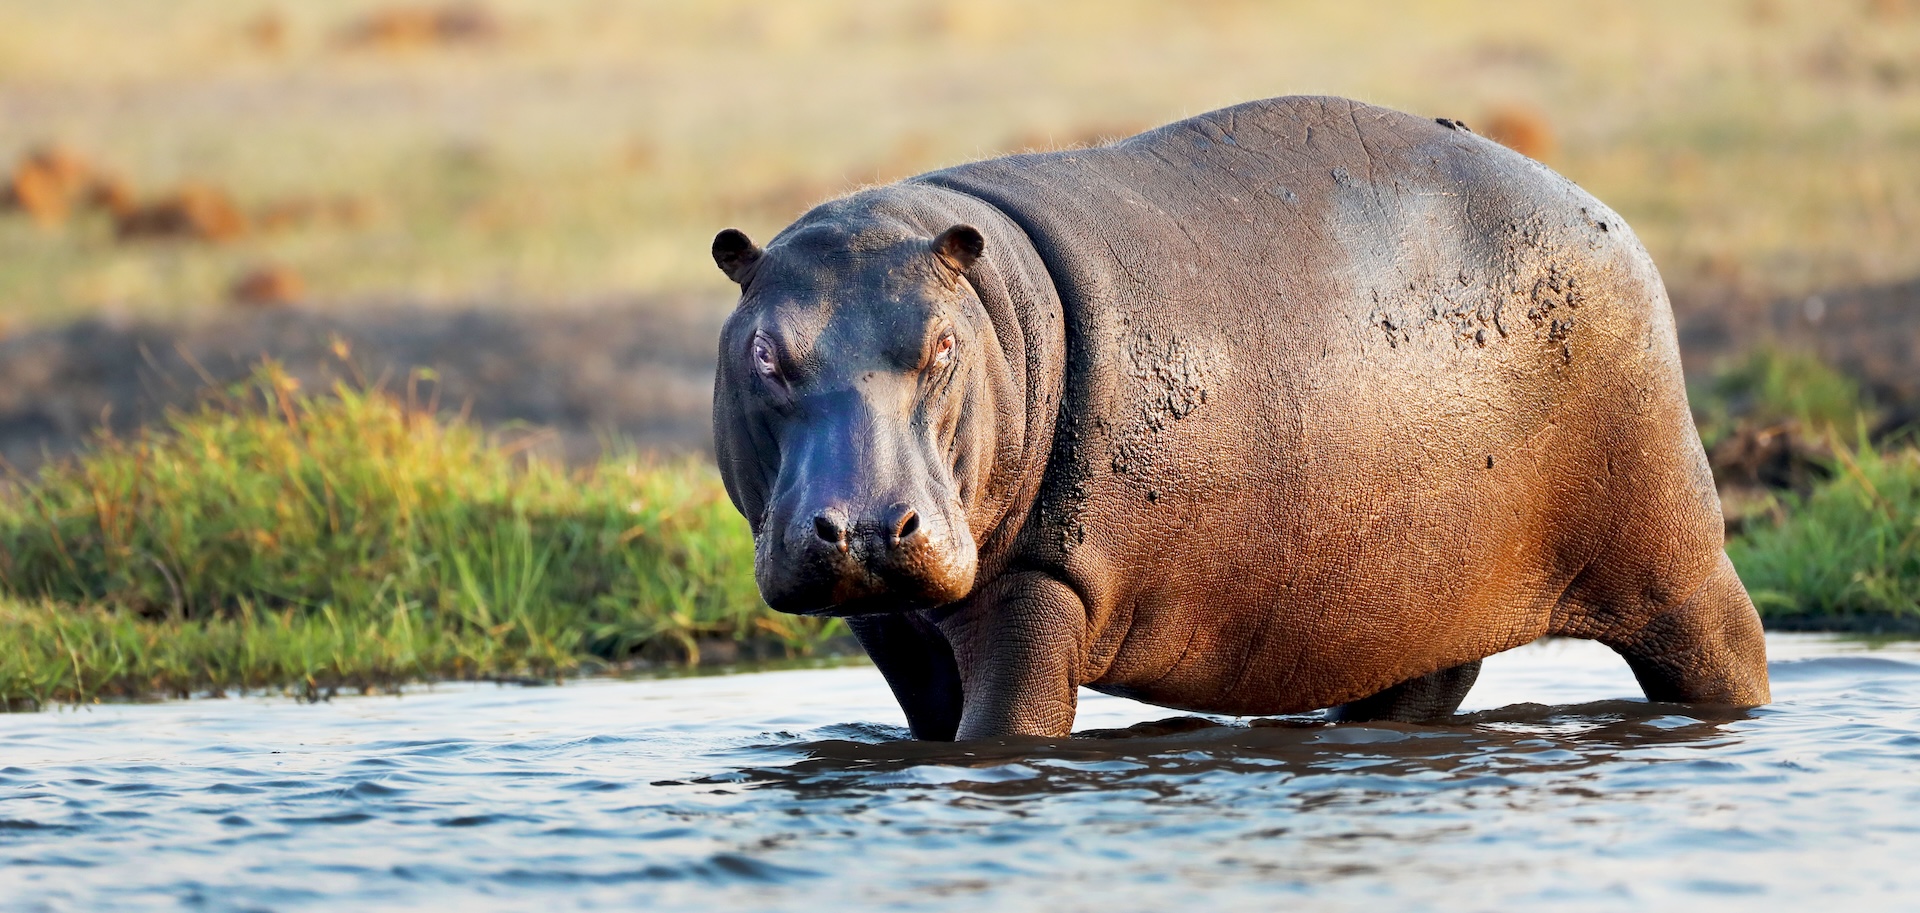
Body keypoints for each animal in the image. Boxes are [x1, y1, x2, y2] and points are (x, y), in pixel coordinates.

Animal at [709, 96, 1770, 740]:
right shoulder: (891, 620)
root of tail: (1605, 213)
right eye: (763, 352)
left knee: (1727, 643)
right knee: (1426, 682)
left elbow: (1005, 726)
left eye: (940, 346)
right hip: (1424, 586)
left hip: (1668, 549)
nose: (865, 526)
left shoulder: (1041, 583)